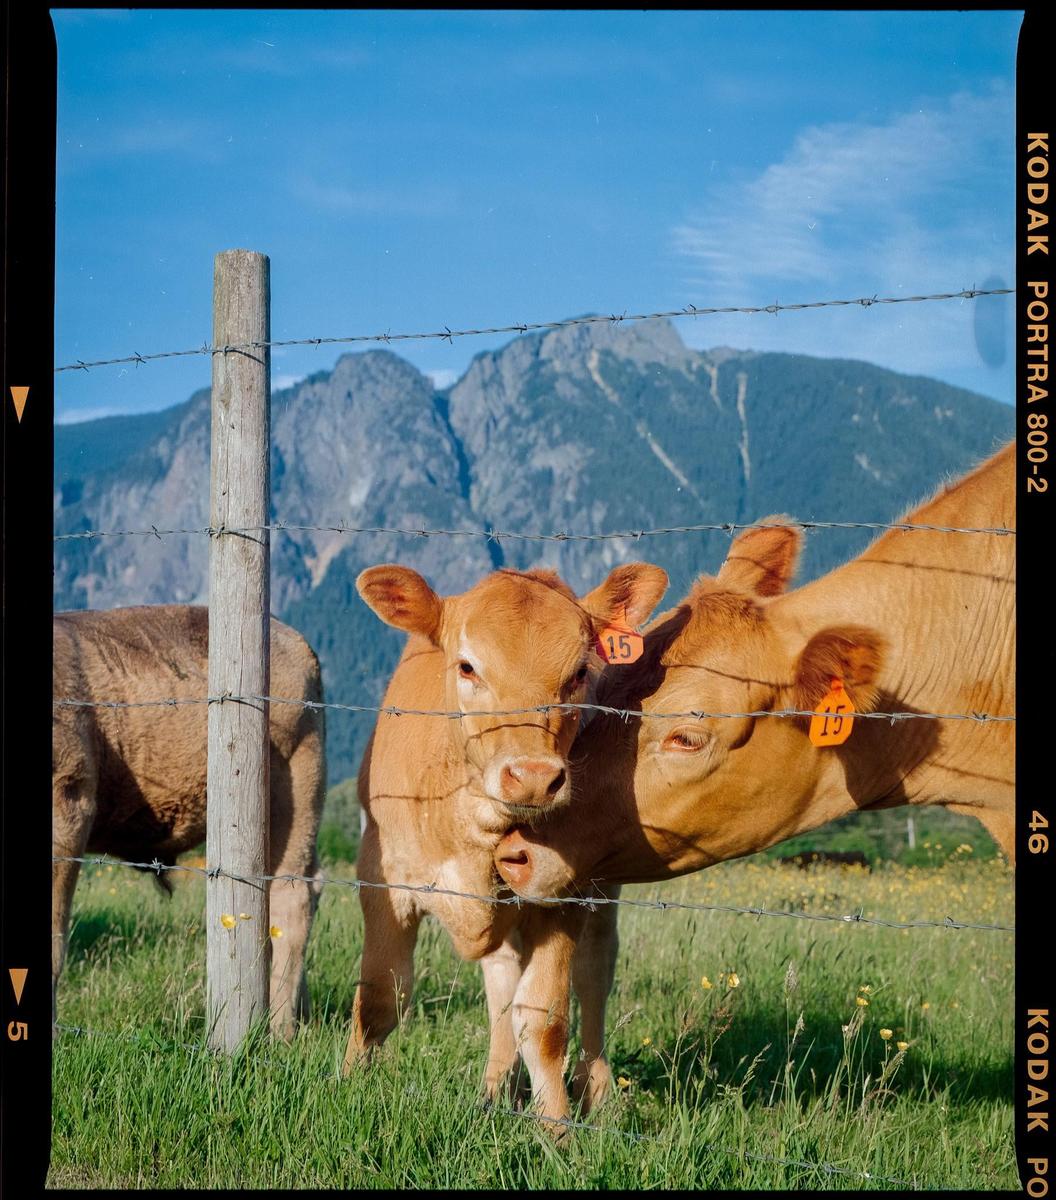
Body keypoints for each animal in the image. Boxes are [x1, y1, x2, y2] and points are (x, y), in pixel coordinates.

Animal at [341, 561, 668, 1131]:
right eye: (467, 666)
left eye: (579, 673)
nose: (534, 776)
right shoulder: (381, 880)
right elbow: (380, 997)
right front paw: (346, 1084)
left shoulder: (562, 895)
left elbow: (543, 1020)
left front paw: (557, 1128)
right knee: (500, 987)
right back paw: (496, 1091)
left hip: (602, 887)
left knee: (593, 973)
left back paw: (596, 1093)